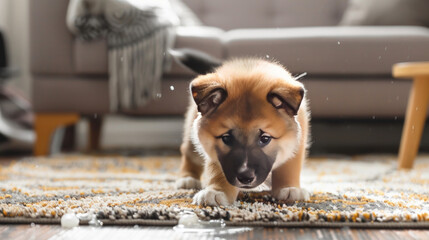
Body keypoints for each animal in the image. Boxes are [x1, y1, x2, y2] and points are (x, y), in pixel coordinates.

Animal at [172, 49, 310, 206]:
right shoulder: (215, 150)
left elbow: (288, 167)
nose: (245, 178)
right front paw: (217, 190)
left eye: (265, 138)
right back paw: (187, 179)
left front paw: (289, 188)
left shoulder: (295, 142)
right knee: (189, 153)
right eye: (226, 138)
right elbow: (218, 170)